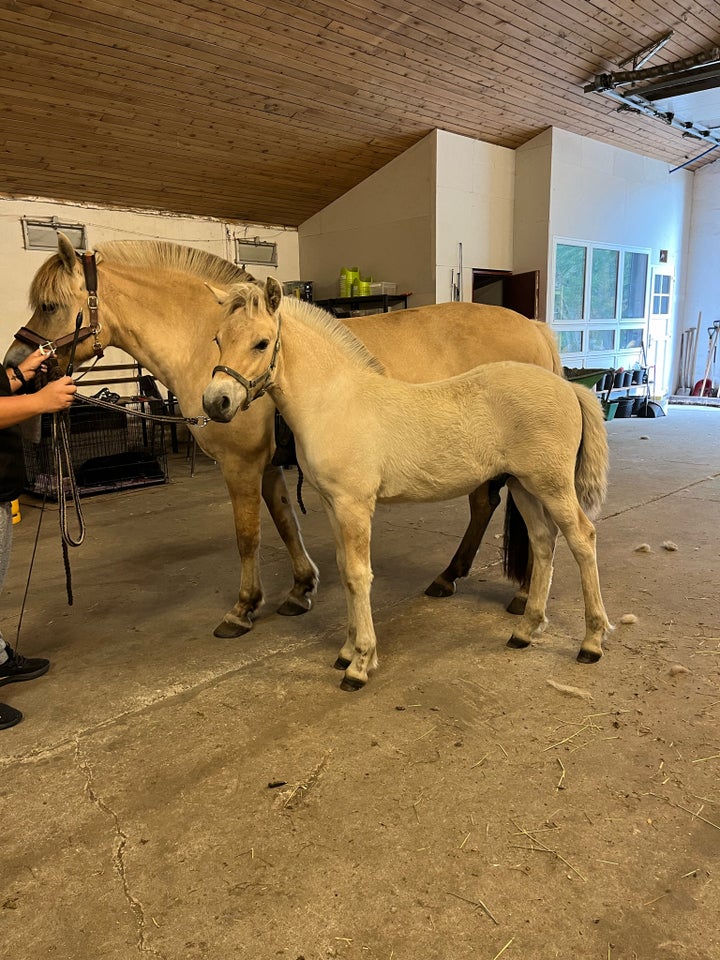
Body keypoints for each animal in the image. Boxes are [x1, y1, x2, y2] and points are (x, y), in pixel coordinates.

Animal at [7, 232, 564, 636]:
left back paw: (516, 595)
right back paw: (453, 578)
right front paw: (300, 590)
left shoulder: (241, 465)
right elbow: (283, 524)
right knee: (487, 508)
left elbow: (248, 536)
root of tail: (535, 329)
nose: (16, 365)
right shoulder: (272, 465)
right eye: (216, 338)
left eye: (51, 306)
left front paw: (243, 608)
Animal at [202, 282, 612, 692]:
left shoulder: (354, 505)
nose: (216, 402)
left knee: (582, 538)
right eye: (218, 339)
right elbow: (344, 569)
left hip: (552, 486)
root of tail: (568, 389)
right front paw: (347, 651)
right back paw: (525, 631)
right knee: (543, 542)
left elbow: (358, 575)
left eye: (261, 342)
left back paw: (591, 642)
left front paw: (360, 663)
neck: (335, 401)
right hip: (524, 485)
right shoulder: (334, 505)